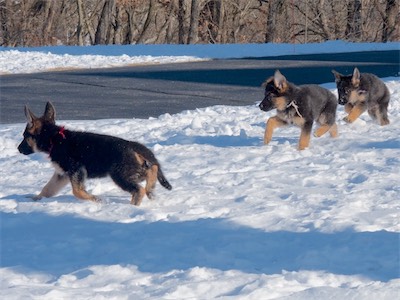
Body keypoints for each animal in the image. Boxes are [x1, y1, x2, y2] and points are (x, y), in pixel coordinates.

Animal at [18, 102, 171, 205]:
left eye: (25, 136)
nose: (19, 149)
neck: (54, 139)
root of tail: (132, 145)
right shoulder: (62, 175)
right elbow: (47, 189)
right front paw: (35, 199)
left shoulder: (76, 170)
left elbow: (77, 192)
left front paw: (96, 199)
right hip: (132, 171)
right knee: (152, 169)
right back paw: (150, 189)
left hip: (120, 175)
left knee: (139, 189)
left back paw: (134, 205)